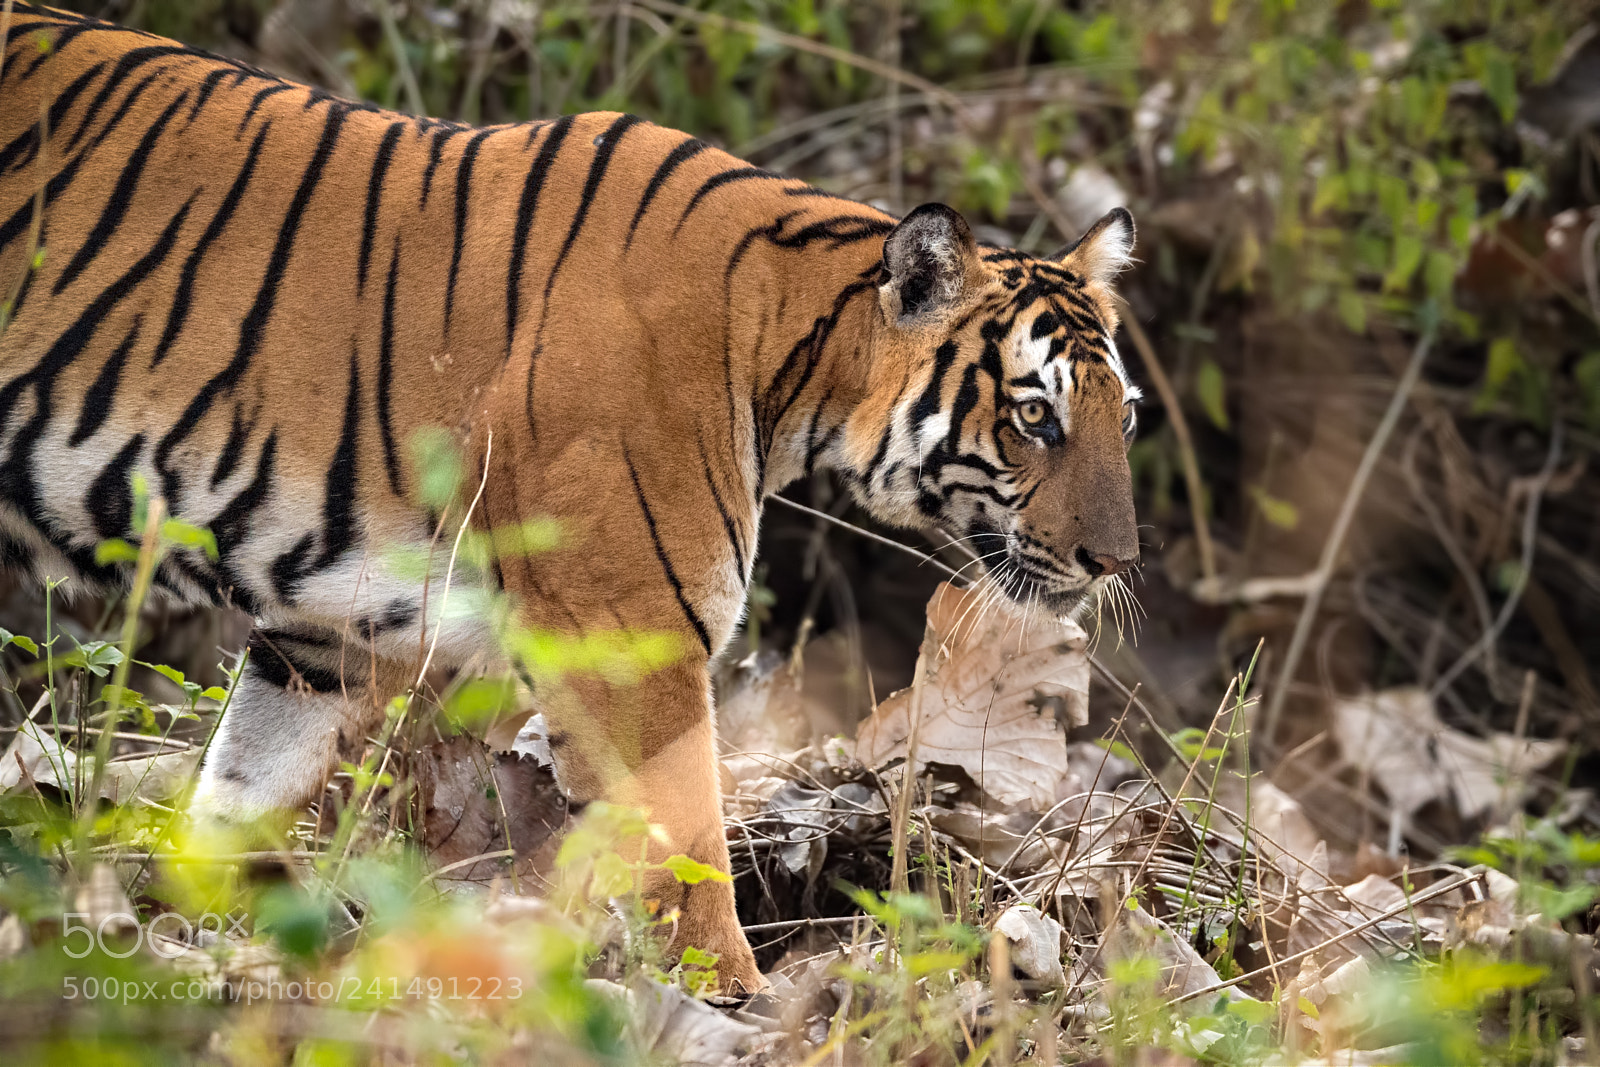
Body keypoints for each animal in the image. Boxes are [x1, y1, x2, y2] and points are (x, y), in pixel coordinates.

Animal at [0, 2, 1141, 992]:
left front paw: (198, 948)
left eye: (1121, 416)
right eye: (1034, 417)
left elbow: (236, 797)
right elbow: (688, 850)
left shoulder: (325, 635)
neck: (789, 354)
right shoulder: (631, 635)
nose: (1117, 561)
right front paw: (734, 998)